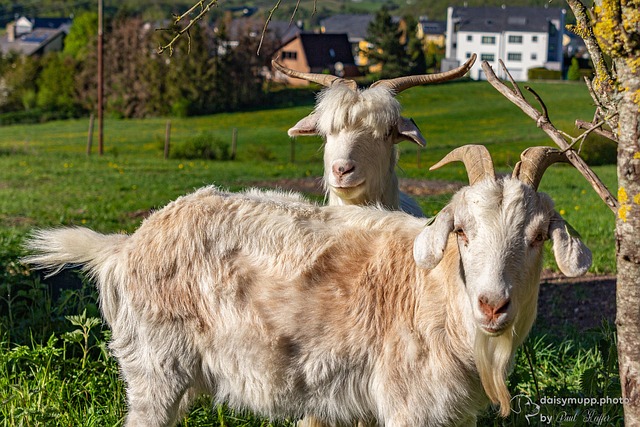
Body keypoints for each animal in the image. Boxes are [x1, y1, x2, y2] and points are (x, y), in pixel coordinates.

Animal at [23, 145, 591, 427]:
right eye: (463, 232)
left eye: (538, 236)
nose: (493, 305)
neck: (431, 295)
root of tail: (125, 246)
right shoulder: (410, 407)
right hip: (153, 367)